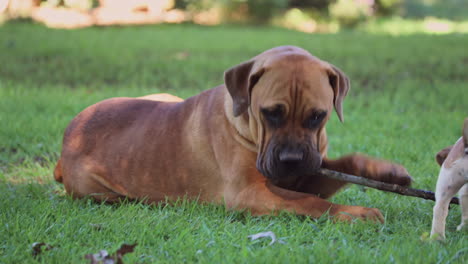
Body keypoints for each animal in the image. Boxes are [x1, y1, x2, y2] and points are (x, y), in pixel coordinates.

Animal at [55, 46, 414, 222]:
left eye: (318, 116)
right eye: (271, 113)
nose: (292, 159)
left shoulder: (305, 173)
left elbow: (340, 167)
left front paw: (386, 171)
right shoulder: (250, 193)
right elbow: (310, 202)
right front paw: (356, 213)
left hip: (163, 97)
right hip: (97, 191)